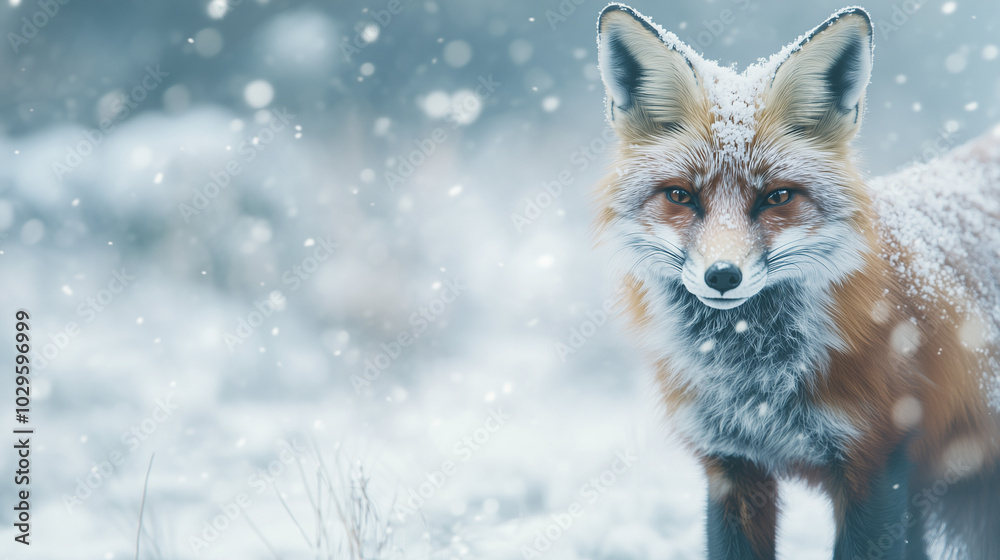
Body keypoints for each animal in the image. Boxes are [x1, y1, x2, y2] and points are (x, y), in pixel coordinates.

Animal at [592, 4, 1000, 560]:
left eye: (777, 197)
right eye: (680, 196)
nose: (723, 275)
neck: (755, 386)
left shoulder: (876, 463)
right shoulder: (732, 466)